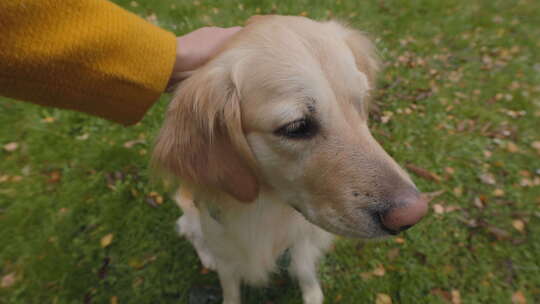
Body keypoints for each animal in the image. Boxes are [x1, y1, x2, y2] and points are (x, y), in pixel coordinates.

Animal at [151, 14, 426, 304]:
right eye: (296, 127)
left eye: (361, 102)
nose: (413, 214)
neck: (267, 210)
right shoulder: (224, 247)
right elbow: (229, 284)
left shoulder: (302, 240)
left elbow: (304, 270)